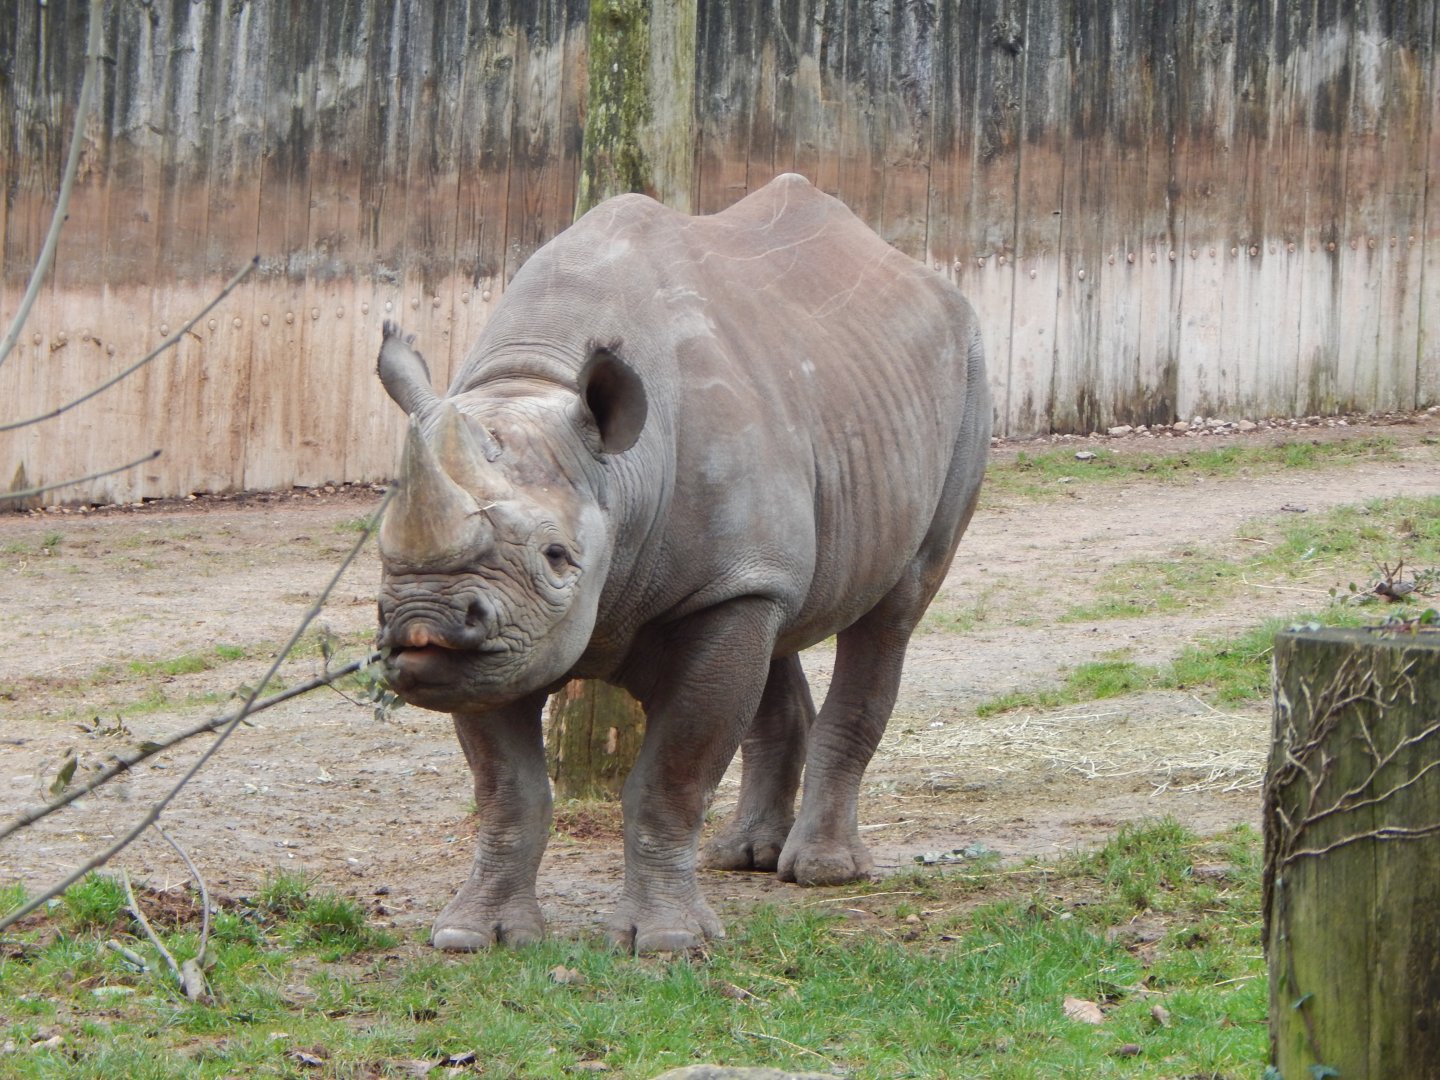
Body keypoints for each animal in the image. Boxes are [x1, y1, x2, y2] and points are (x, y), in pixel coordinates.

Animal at [374, 173, 989, 953]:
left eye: (556, 556)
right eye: (383, 548)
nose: (422, 621)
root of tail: (907, 265)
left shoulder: (707, 590)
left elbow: (671, 776)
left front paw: (666, 944)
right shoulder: (506, 641)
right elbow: (507, 790)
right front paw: (475, 938)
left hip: (968, 369)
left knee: (894, 610)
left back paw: (822, 872)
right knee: (780, 624)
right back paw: (745, 856)